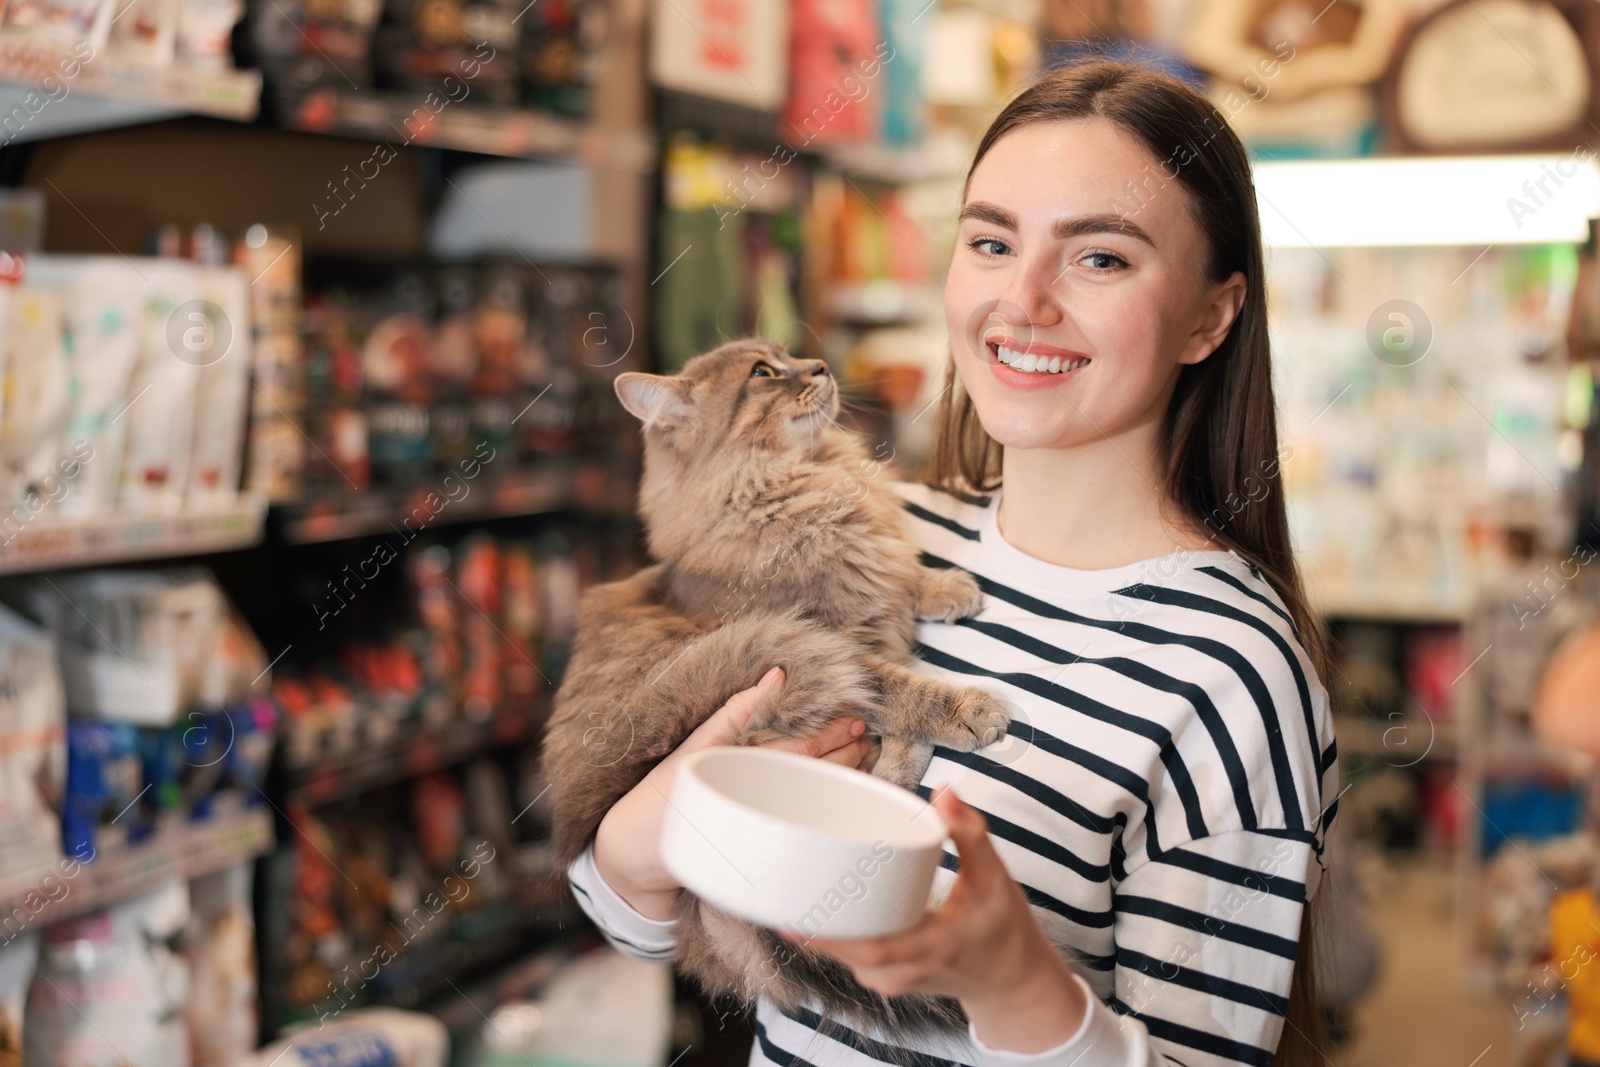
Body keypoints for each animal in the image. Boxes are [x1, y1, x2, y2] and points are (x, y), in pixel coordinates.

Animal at [537, 340, 1011, 1043]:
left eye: (786, 355)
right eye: (763, 374)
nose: (818, 366)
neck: (808, 482)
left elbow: (901, 579)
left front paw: (946, 587)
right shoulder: (830, 645)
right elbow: (899, 683)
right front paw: (969, 709)